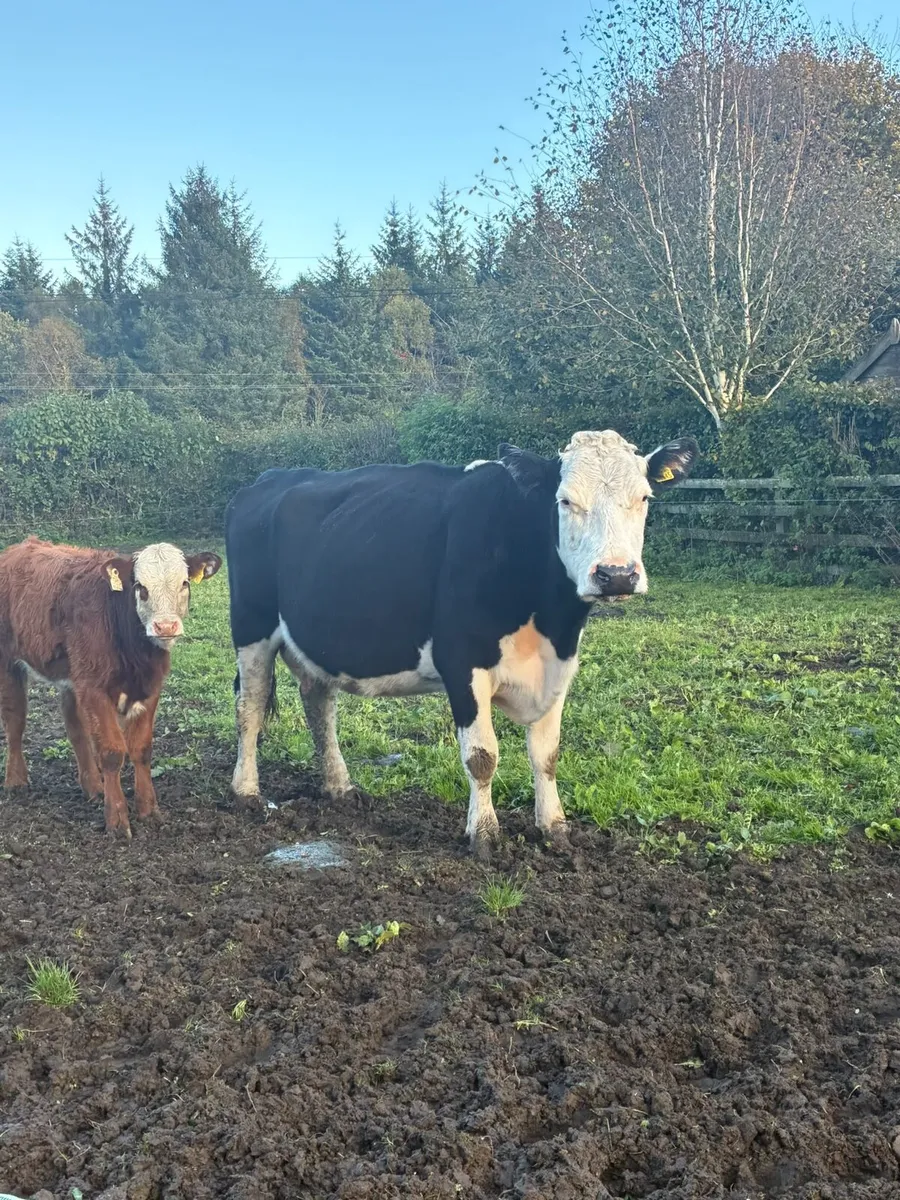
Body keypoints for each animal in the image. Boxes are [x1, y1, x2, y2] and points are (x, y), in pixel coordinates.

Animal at [0, 538, 221, 837]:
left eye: (184, 583)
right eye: (140, 587)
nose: (165, 627)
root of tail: (22, 546)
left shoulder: (150, 687)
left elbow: (141, 749)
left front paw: (148, 810)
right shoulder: (94, 688)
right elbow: (112, 752)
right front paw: (116, 819)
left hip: (73, 675)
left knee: (75, 727)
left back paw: (94, 787)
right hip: (9, 662)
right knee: (15, 721)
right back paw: (16, 781)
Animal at [225, 431, 698, 859]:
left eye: (644, 498)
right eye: (565, 501)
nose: (616, 575)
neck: (548, 620)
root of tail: (267, 479)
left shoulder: (560, 665)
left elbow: (547, 754)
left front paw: (555, 828)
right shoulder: (462, 662)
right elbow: (482, 755)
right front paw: (484, 835)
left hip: (314, 640)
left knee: (319, 705)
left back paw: (338, 786)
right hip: (251, 628)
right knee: (250, 707)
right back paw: (246, 791)